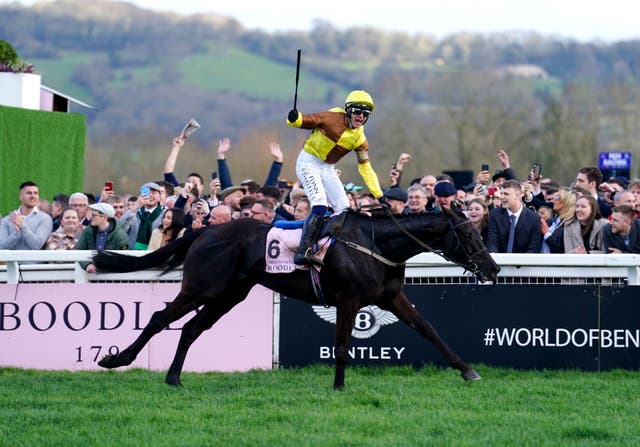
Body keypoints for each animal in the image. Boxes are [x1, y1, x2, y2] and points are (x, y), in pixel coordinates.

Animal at [92, 208, 500, 390]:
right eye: (469, 236)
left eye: (478, 231)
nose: (493, 268)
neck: (377, 245)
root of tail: (205, 230)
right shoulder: (348, 300)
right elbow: (341, 345)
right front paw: (339, 386)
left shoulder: (391, 298)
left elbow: (429, 330)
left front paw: (467, 369)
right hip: (201, 288)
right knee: (160, 319)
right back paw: (117, 359)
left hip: (230, 295)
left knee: (191, 329)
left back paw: (174, 378)